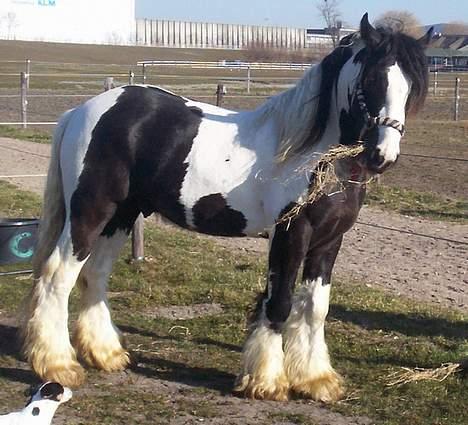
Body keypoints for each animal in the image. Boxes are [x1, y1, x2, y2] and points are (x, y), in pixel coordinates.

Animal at [20, 14, 434, 400]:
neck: (314, 155)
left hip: (121, 215)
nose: (382, 156)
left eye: (412, 86)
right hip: (90, 212)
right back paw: (58, 365)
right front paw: (267, 382)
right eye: (372, 80)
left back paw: (105, 354)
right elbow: (279, 303)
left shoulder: (329, 241)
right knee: (58, 276)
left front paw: (316, 380)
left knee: (96, 274)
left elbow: (315, 308)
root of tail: (83, 111)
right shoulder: (291, 234)